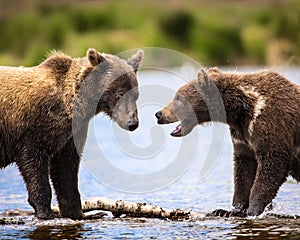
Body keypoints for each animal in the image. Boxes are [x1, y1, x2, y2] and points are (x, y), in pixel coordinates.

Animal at [0, 47, 144, 219]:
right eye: (120, 93)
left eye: (136, 95)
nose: (132, 123)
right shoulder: (31, 130)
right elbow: (34, 164)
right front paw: (45, 211)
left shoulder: (71, 133)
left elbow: (66, 170)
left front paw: (82, 213)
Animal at [156, 67, 300, 218]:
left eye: (177, 97)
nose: (159, 114)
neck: (241, 110)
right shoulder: (242, 136)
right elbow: (244, 170)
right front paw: (231, 210)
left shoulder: (270, 123)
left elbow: (272, 163)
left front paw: (253, 209)